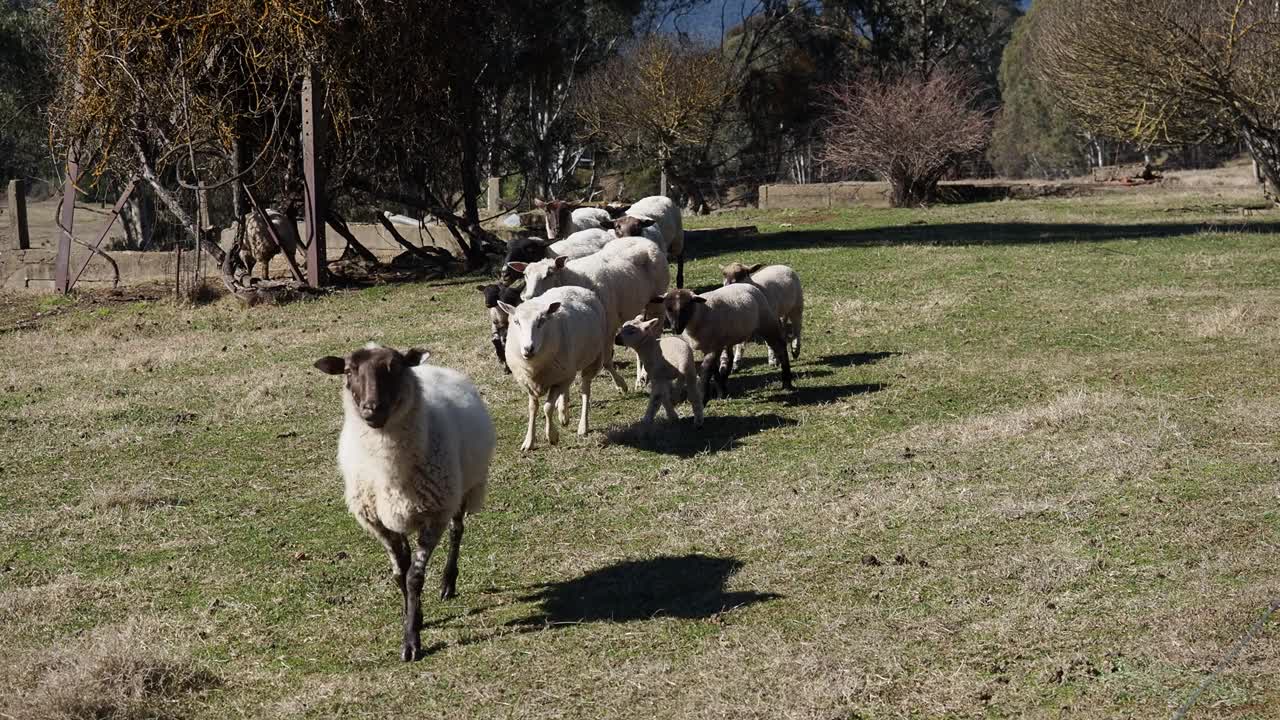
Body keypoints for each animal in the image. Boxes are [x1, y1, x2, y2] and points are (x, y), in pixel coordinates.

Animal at [312, 340, 496, 661]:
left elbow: (414, 578)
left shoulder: (433, 516)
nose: (371, 409)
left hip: (460, 491)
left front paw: (411, 641)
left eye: (394, 368)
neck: (389, 470)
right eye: (348, 370)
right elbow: (400, 575)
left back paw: (448, 582)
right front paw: (413, 616)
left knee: (457, 531)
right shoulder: (378, 522)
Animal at [499, 284, 614, 448]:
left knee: (585, 391)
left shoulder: (557, 380)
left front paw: (552, 436)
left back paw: (583, 426)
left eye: (541, 322)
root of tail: (575, 287)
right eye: (516, 322)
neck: (534, 366)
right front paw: (529, 441)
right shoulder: (529, 383)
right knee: (566, 390)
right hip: (565, 369)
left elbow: (547, 408)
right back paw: (563, 413)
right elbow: (533, 409)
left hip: (592, 359)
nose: (528, 348)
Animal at [509, 235, 670, 389]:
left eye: (549, 274)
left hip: (657, 302)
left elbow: (606, 361)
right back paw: (640, 379)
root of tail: (645, 239)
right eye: (525, 275)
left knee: (655, 334)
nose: (528, 297)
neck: (575, 278)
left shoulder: (609, 327)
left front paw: (621, 385)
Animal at [655, 284, 793, 397]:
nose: (675, 328)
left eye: (686, 308)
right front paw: (721, 392)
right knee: (729, 358)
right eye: (668, 308)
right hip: (729, 337)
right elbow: (714, 370)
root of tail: (749, 285)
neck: (701, 313)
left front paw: (703, 396)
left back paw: (787, 383)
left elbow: (706, 369)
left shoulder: (714, 346)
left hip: (766, 323)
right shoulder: (708, 347)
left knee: (780, 346)